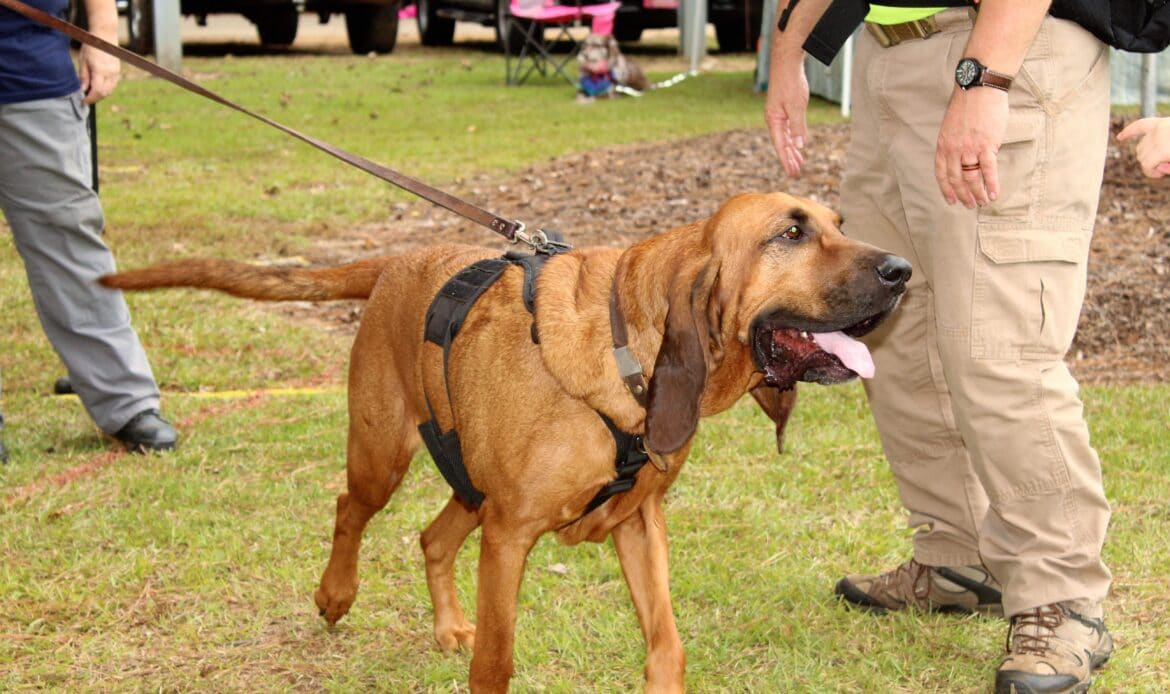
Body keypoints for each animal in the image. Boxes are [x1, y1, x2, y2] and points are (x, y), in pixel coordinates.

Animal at [101, 192, 909, 692]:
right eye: (792, 232)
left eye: (838, 221)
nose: (903, 270)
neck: (629, 349)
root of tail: (396, 261)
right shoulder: (511, 535)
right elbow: (496, 663)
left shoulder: (639, 524)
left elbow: (667, 646)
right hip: (384, 457)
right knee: (348, 509)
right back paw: (335, 595)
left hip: (470, 483)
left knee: (431, 538)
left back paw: (444, 623)